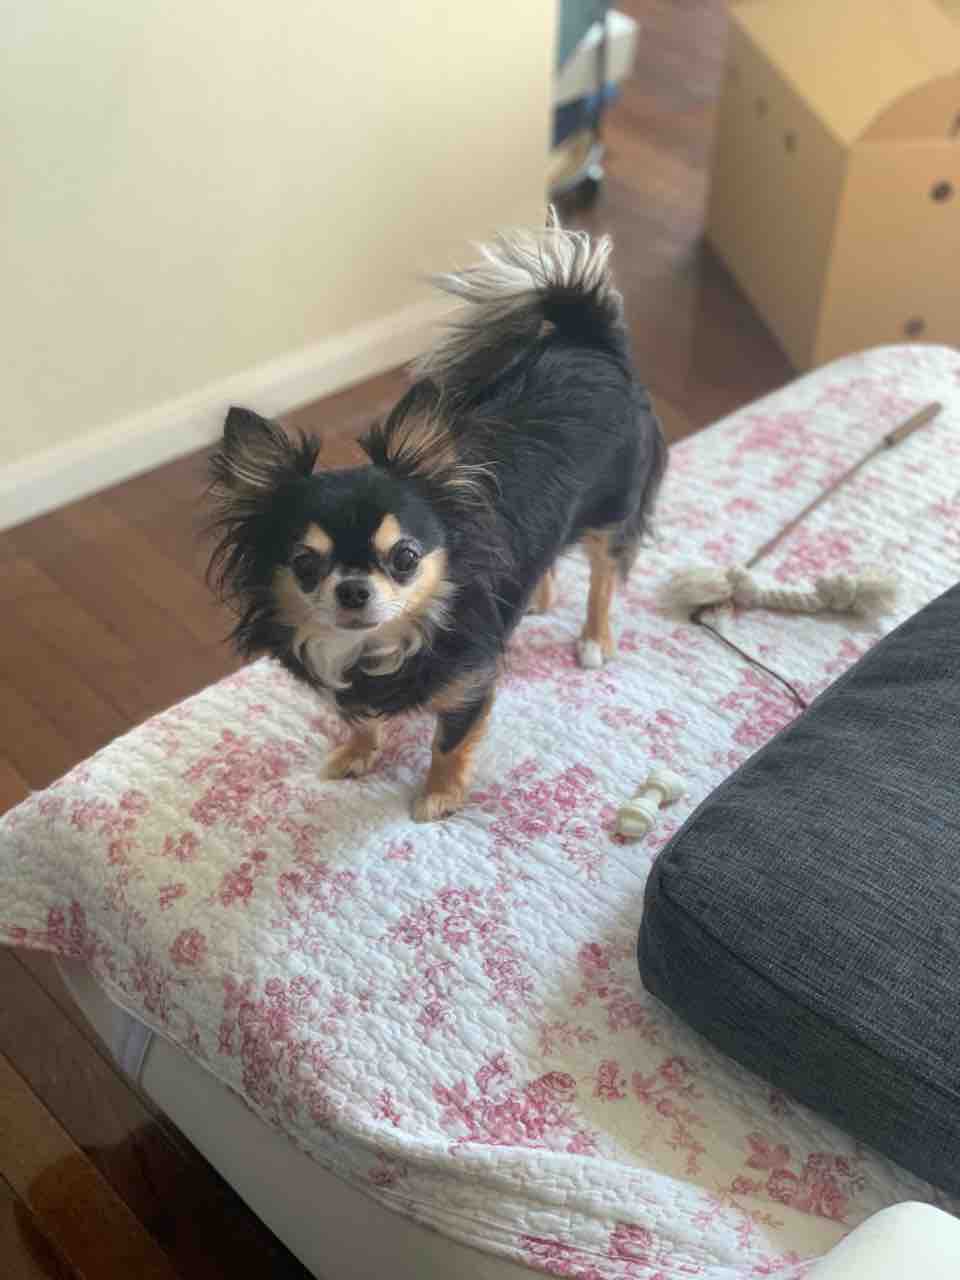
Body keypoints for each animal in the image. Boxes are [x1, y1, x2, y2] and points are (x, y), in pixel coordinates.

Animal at [206, 213, 666, 821]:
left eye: (405, 557)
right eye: (304, 564)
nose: (352, 589)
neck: (378, 647)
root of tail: (586, 340)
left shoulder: (470, 682)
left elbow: (450, 740)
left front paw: (439, 796)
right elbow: (358, 716)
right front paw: (356, 753)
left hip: (610, 514)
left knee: (603, 578)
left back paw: (594, 639)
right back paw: (536, 599)